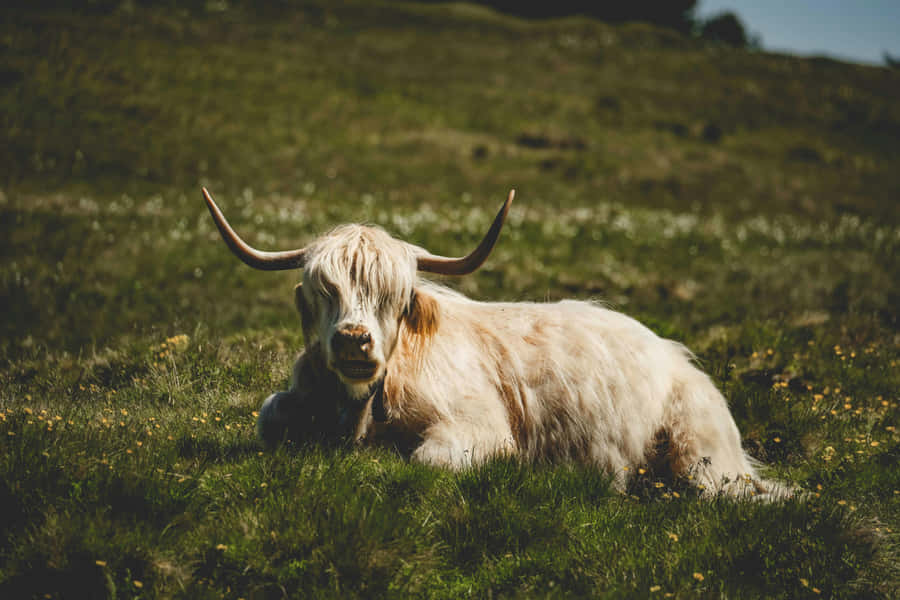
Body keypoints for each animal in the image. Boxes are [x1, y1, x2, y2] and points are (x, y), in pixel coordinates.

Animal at [203, 187, 787, 498]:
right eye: (324, 290)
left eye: (393, 295)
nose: (353, 340)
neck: (360, 410)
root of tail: (676, 354)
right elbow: (269, 417)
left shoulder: (479, 429)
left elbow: (427, 461)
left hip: (704, 462)